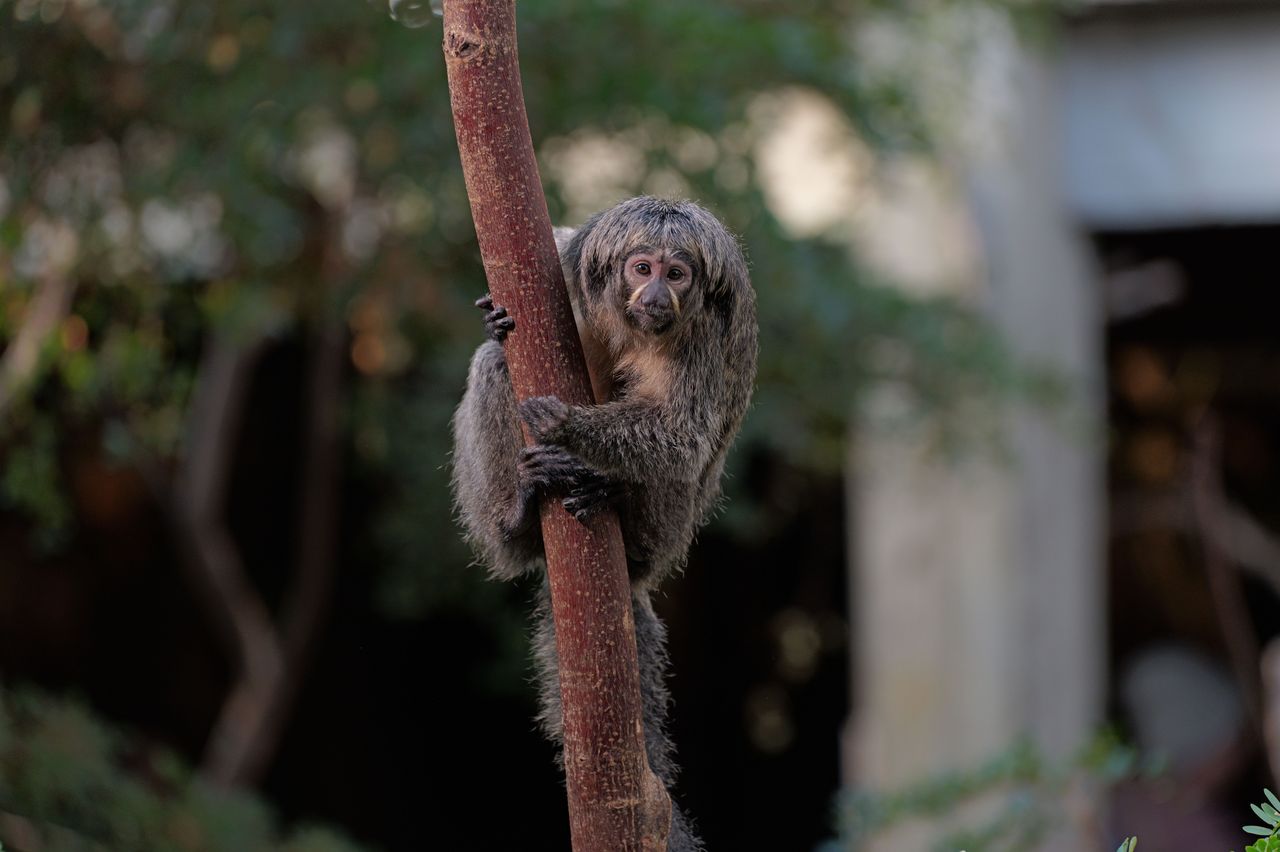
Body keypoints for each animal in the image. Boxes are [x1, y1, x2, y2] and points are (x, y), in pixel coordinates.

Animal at [450, 196, 757, 852]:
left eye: (677, 274)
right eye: (642, 269)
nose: (657, 295)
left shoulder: (700, 335)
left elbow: (680, 437)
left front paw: (566, 427)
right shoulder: (567, 270)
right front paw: (494, 319)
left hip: (671, 532)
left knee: (682, 466)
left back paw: (606, 497)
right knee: (494, 367)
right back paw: (516, 525)